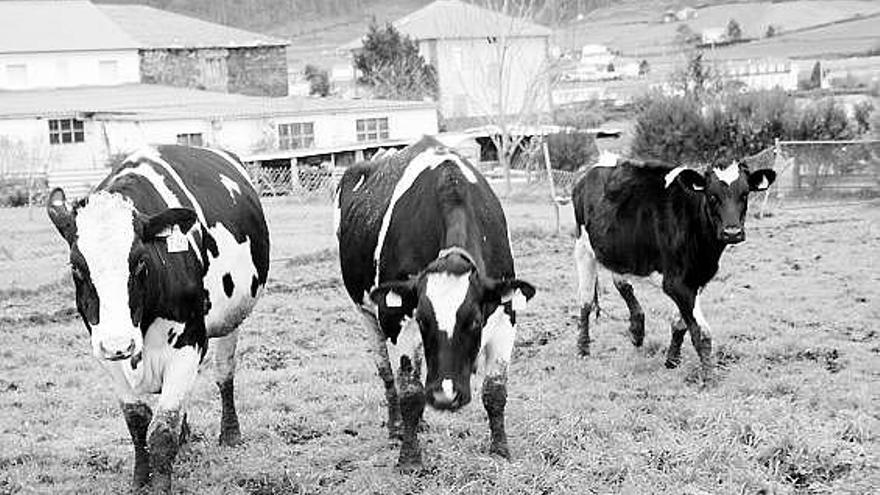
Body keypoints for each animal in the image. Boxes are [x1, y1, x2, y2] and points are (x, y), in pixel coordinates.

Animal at [47, 143, 268, 492]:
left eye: (140, 261)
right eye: (76, 267)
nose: (119, 344)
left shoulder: (189, 343)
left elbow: (162, 428)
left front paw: (161, 483)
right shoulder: (107, 356)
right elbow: (138, 422)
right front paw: (140, 479)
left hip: (231, 319)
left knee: (224, 374)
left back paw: (230, 433)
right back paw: (186, 439)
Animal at [336, 135, 536, 468]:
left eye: (475, 320)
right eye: (422, 319)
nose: (445, 396)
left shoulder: (506, 314)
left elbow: (495, 390)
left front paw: (500, 449)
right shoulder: (396, 318)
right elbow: (410, 392)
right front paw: (409, 458)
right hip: (366, 313)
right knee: (388, 375)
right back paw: (397, 428)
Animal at [572, 157, 768, 378]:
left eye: (745, 194)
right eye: (712, 196)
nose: (732, 232)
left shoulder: (697, 279)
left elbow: (679, 323)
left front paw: (672, 360)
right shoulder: (676, 283)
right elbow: (702, 333)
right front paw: (709, 377)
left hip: (618, 247)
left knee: (621, 280)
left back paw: (637, 329)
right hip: (583, 247)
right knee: (586, 299)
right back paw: (583, 349)